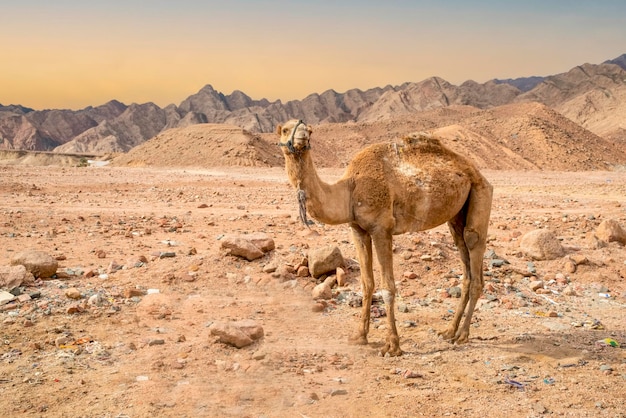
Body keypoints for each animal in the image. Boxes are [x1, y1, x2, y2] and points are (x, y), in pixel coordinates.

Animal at [276, 118, 490, 356]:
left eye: (310, 131)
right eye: (285, 129)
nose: (302, 136)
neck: (349, 189)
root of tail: (476, 172)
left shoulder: (381, 229)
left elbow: (388, 287)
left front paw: (392, 346)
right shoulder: (357, 229)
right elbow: (366, 283)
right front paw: (360, 336)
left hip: (481, 193)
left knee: (474, 247)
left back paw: (462, 335)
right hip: (456, 216)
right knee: (464, 258)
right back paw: (449, 331)